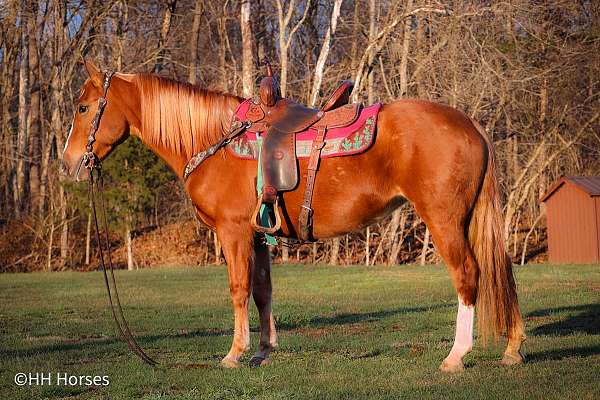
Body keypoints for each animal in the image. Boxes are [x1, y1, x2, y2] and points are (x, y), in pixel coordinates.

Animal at [62, 61, 524, 374]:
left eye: (83, 108)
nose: (68, 164)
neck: (213, 141)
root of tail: (469, 123)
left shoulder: (233, 233)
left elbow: (238, 289)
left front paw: (234, 353)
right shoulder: (258, 235)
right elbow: (263, 292)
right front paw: (264, 350)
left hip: (444, 220)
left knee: (467, 275)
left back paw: (456, 356)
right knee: (498, 272)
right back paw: (513, 348)